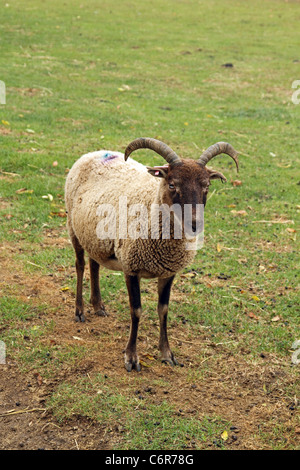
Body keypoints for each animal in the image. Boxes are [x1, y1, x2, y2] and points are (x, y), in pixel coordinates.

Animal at [65, 138, 239, 372]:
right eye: (172, 184)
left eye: (207, 186)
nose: (195, 224)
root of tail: (96, 152)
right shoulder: (131, 267)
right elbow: (136, 311)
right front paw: (131, 358)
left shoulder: (168, 272)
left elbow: (163, 309)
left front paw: (167, 354)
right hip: (73, 228)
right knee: (80, 265)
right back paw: (80, 311)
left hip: (94, 234)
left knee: (94, 264)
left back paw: (98, 305)